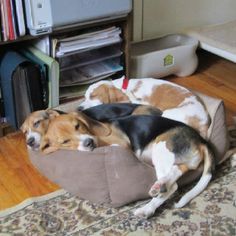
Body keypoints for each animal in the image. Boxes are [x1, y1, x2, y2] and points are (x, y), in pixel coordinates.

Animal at [41, 107, 216, 218]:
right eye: (65, 141)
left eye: (78, 126)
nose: (88, 143)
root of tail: (201, 140)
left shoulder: (122, 145)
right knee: (175, 176)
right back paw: (148, 208)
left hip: (161, 146)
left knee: (172, 186)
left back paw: (153, 196)